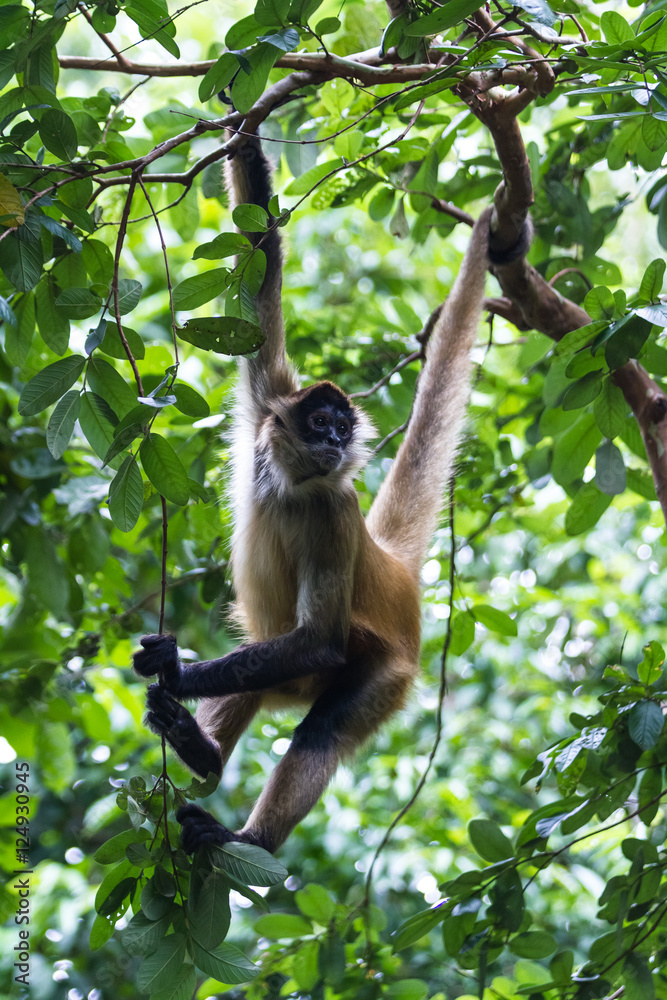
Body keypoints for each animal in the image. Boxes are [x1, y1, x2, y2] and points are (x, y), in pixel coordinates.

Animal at [133, 133, 512, 856]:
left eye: (341, 428)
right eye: (321, 424)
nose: (337, 439)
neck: (290, 484)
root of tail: (394, 570)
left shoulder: (338, 510)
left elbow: (321, 640)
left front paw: (179, 673)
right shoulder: (267, 407)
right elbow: (261, 258)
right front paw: (245, 135)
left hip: (383, 670)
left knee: (322, 726)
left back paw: (251, 839)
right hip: (274, 665)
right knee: (260, 654)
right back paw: (202, 752)